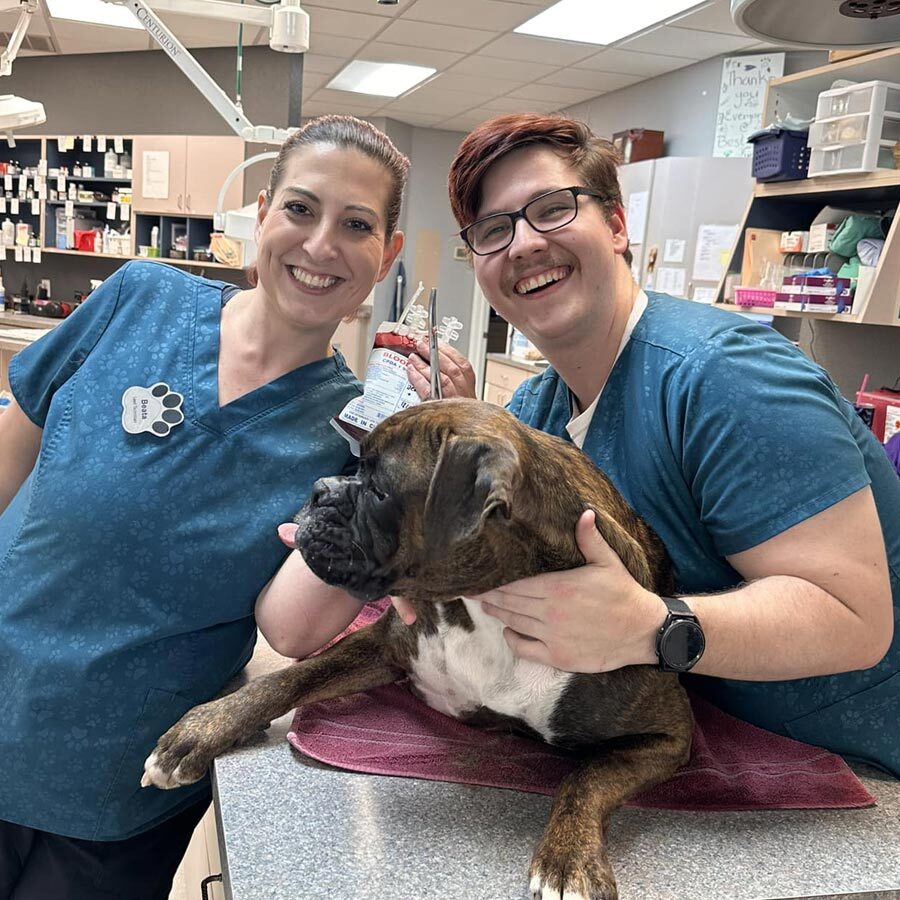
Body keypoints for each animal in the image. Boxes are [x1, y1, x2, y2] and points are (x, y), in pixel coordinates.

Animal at [144, 400, 692, 900]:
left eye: (379, 490)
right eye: (353, 467)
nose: (320, 489)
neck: (483, 607)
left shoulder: (670, 736)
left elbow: (589, 776)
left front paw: (570, 859)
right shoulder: (384, 646)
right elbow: (293, 677)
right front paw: (203, 729)